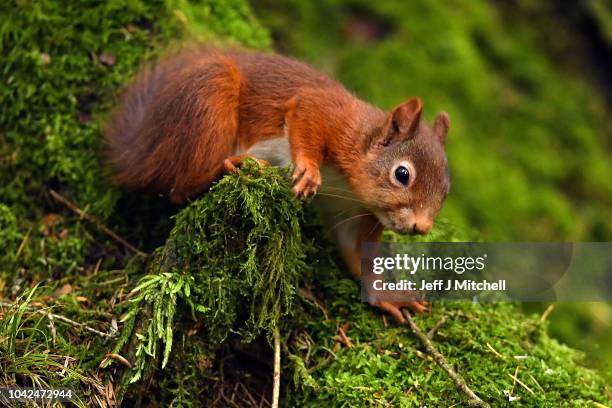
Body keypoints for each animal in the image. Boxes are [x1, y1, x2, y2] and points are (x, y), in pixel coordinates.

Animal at [104, 47, 450, 322]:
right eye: (402, 174)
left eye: (446, 192)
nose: (422, 227)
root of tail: (142, 149)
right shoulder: (329, 115)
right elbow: (307, 118)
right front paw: (308, 170)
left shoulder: (351, 209)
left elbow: (356, 251)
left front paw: (386, 293)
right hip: (210, 100)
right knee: (182, 187)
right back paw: (239, 163)